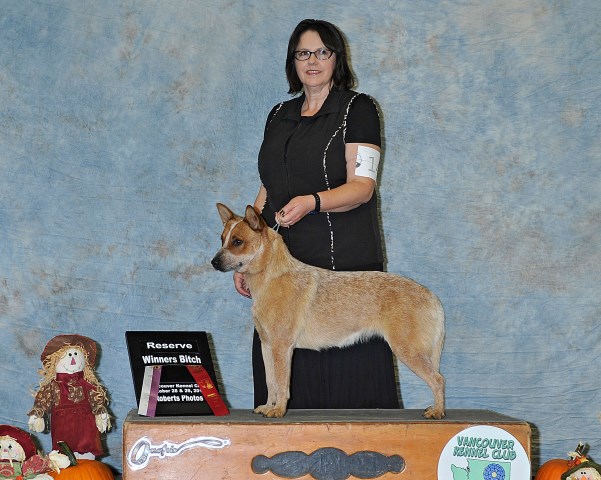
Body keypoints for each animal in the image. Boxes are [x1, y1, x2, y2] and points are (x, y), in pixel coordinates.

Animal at [212, 204, 446, 418]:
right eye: (222, 239)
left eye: (237, 241)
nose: (213, 262)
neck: (270, 278)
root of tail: (432, 297)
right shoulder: (267, 345)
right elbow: (271, 382)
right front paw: (268, 407)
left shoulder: (282, 346)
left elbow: (281, 384)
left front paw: (278, 411)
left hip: (408, 350)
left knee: (438, 379)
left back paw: (437, 412)